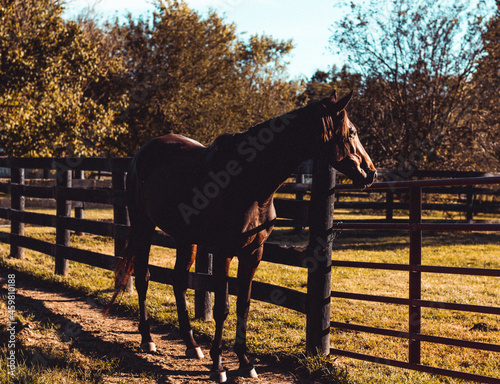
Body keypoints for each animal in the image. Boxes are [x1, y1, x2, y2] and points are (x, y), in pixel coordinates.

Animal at [111, 91, 376, 382]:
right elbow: (222, 308)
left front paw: (245, 362)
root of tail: (141, 154)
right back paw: (147, 339)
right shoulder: (223, 252)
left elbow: (243, 305)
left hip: (185, 238)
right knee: (143, 278)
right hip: (143, 227)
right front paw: (218, 366)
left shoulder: (253, 253)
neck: (248, 182)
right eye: (352, 132)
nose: (371, 172)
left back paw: (191, 345)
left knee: (179, 281)